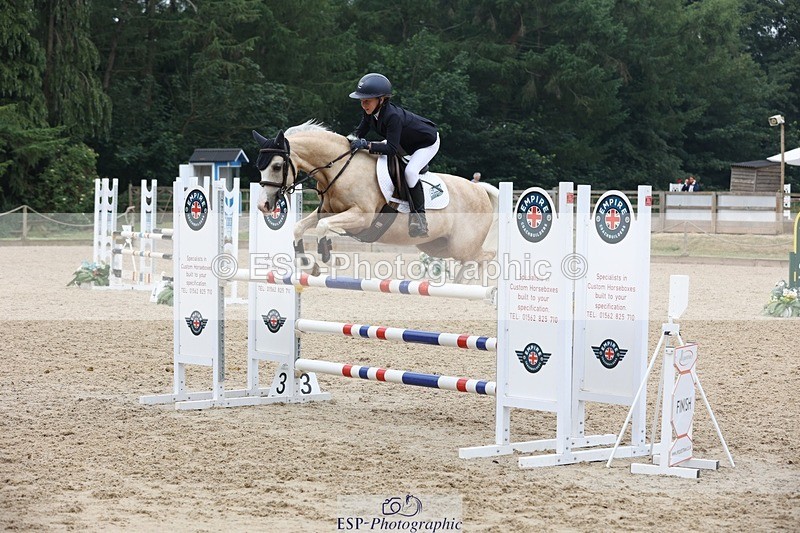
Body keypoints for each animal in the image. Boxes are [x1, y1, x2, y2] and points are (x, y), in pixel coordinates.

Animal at [252, 121, 498, 277]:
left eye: (277, 166)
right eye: (260, 167)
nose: (263, 205)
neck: (340, 169)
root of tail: (479, 190)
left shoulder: (362, 217)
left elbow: (323, 227)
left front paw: (331, 258)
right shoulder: (327, 211)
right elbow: (299, 227)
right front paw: (308, 265)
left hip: (461, 245)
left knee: (486, 257)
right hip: (436, 246)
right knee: (472, 260)